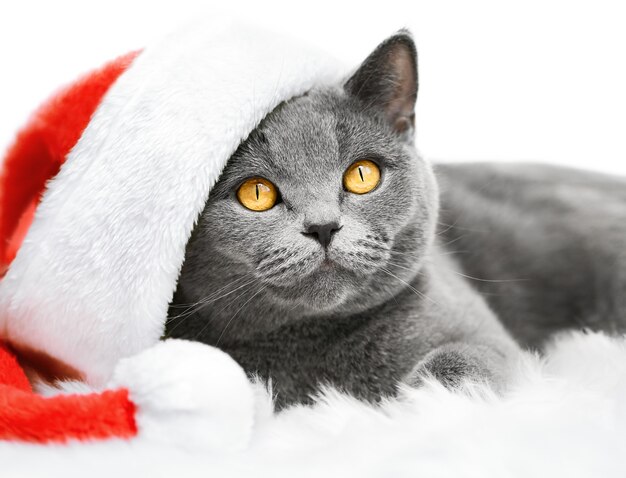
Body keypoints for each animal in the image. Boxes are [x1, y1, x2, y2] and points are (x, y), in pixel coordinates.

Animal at [163, 31, 620, 408]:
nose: (324, 226)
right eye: (256, 193)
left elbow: (459, 365)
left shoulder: (486, 337)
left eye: (362, 175)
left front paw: (420, 403)